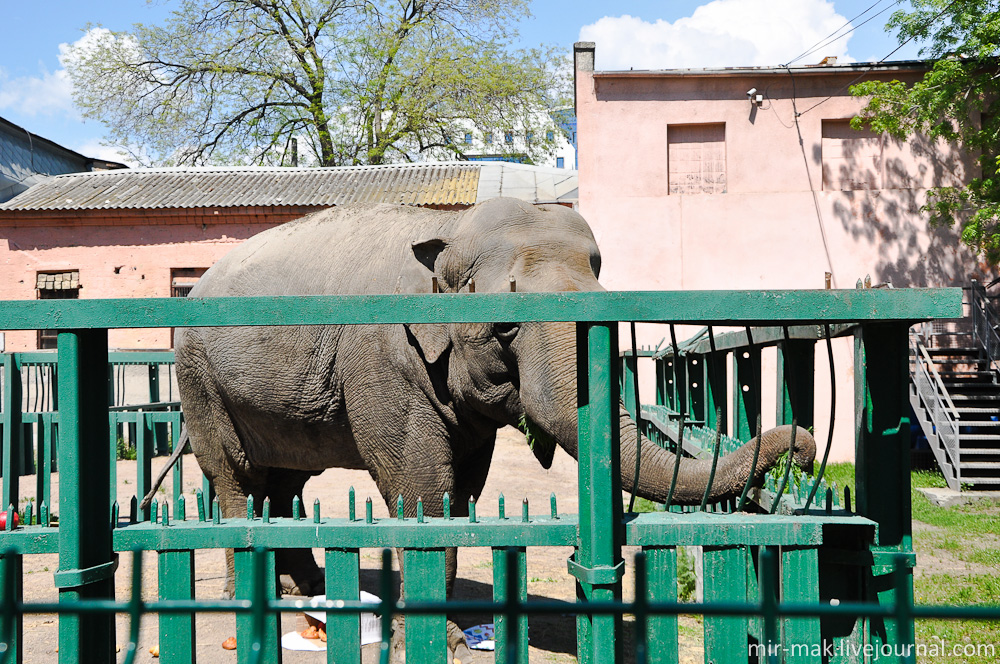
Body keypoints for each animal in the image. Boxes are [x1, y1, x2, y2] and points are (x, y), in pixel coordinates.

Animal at [172, 197, 812, 660]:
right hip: (199, 380)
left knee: (286, 480)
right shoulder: (382, 358)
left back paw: (303, 592)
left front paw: (449, 637)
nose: (803, 450)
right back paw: (246, 599)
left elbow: (463, 492)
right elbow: (421, 488)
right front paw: (437, 646)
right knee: (234, 475)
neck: (446, 229)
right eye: (505, 326)